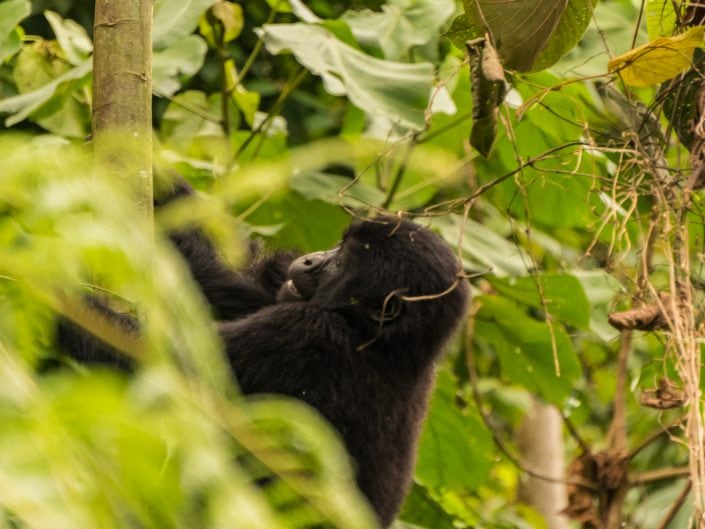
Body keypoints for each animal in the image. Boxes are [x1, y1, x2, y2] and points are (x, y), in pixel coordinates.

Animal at [59, 185, 468, 524]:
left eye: (339, 262)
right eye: (339, 245)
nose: (310, 259)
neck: (384, 340)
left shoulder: (303, 334)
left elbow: (170, 370)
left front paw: (49, 298)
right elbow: (233, 278)